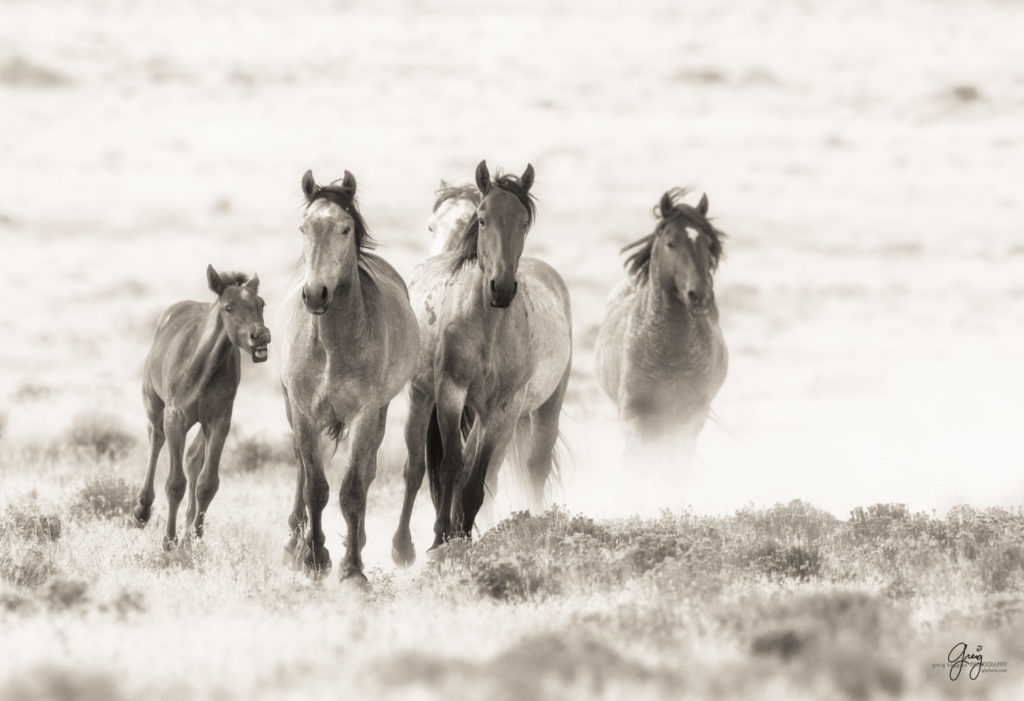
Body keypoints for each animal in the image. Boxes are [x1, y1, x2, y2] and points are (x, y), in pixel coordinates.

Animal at [133, 266, 272, 544]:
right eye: (229, 308)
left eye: (261, 303)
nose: (261, 336)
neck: (204, 367)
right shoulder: (175, 419)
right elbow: (175, 483)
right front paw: (169, 540)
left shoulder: (219, 421)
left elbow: (207, 483)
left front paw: (194, 538)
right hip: (153, 403)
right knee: (155, 438)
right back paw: (142, 509)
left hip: (201, 422)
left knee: (193, 457)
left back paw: (187, 528)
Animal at [278, 169, 417, 585]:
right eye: (304, 227)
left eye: (344, 228)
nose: (315, 294)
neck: (331, 345)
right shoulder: (304, 413)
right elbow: (315, 486)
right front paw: (313, 557)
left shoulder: (365, 414)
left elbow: (353, 487)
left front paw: (352, 569)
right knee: (300, 468)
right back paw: (294, 544)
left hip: (382, 414)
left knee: (367, 472)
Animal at [391, 158, 573, 564]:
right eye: (483, 219)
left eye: (523, 222)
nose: (501, 288)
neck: (488, 324)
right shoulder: (451, 393)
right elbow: (451, 467)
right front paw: (441, 539)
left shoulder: (502, 408)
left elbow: (475, 481)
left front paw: (461, 538)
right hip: (422, 396)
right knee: (415, 468)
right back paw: (402, 547)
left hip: (545, 406)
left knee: (529, 468)